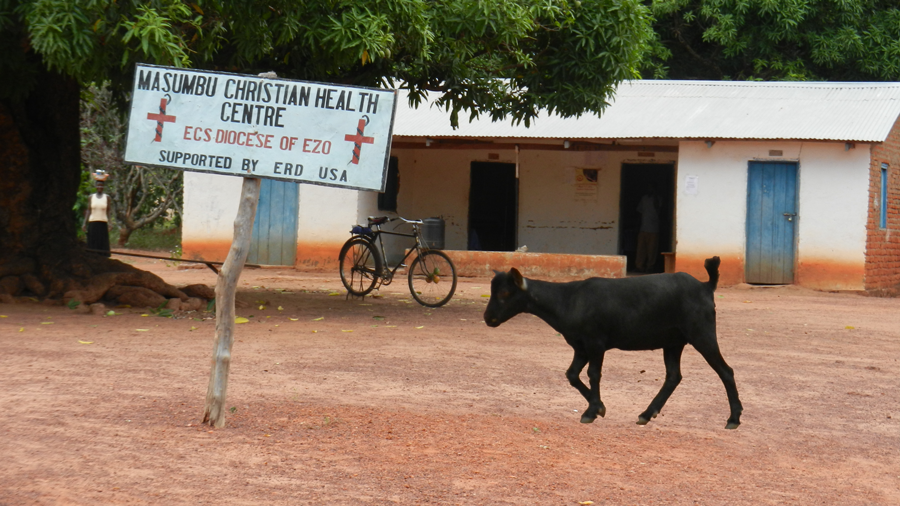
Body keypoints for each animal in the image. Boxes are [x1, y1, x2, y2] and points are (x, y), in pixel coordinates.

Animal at [488, 256, 740, 430]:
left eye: (504, 293)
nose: (488, 318)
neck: (567, 300)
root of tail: (706, 285)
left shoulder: (595, 342)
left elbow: (593, 374)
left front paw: (592, 411)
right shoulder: (580, 346)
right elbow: (572, 374)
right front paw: (599, 407)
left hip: (702, 332)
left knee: (725, 371)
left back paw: (734, 418)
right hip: (673, 341)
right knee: (673, 376)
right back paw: (646, 414)